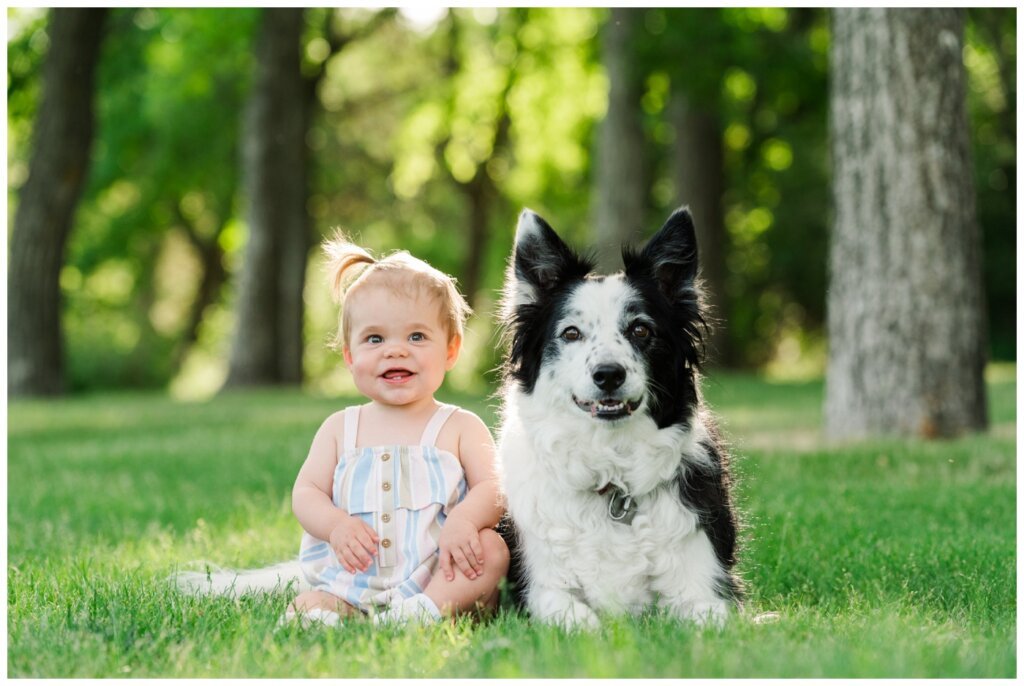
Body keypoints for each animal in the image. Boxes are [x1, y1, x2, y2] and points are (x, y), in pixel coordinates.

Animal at [493, 207, 737, 630]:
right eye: (571, 333)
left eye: (641, 329)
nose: (608, 374)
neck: (612, 474)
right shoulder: (538, 590)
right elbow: (578, 620)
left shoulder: (704, 589)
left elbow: (710, 617)